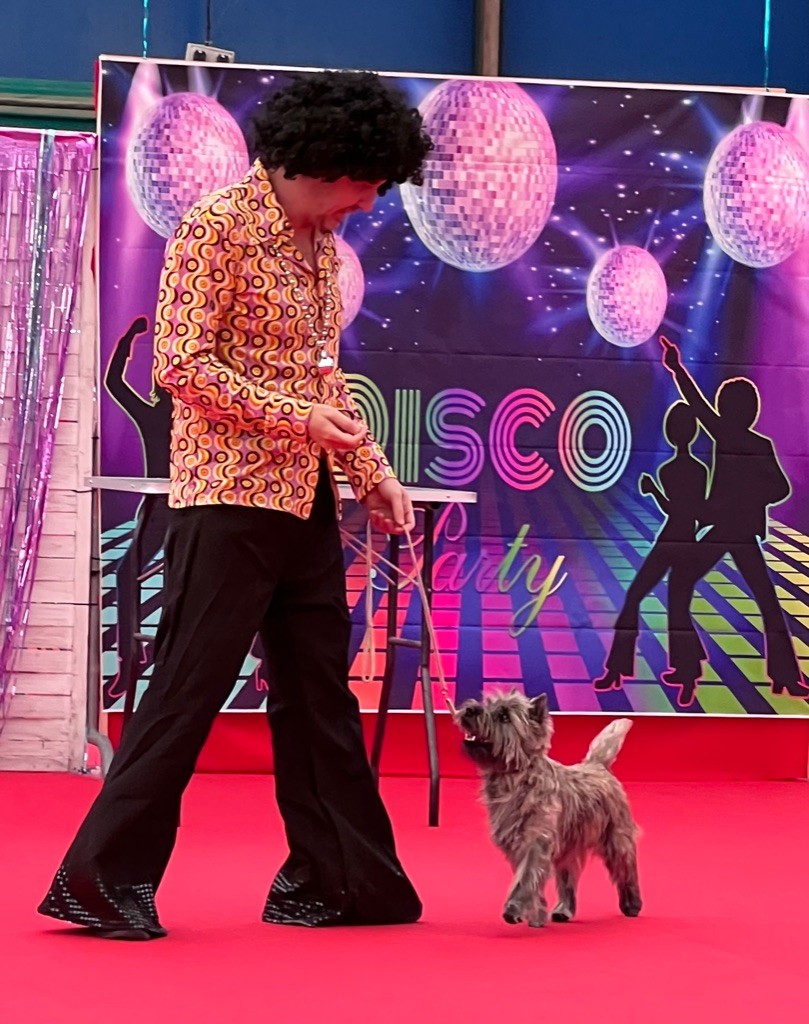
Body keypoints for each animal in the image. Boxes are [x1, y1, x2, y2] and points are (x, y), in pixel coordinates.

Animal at [456, 690, 641, 928]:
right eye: (485, 703)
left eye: (504, 716)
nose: (470, 709)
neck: (514, 778)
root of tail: (598, 765)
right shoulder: (516, 846)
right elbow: (530, 881)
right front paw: (537, 915)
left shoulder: (536, 842)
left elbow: (525, 878)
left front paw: (513, 909)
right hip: (569, 848)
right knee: (568, 880)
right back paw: (564, 910)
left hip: (616, 838)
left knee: (626, 870)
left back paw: (632, 905)